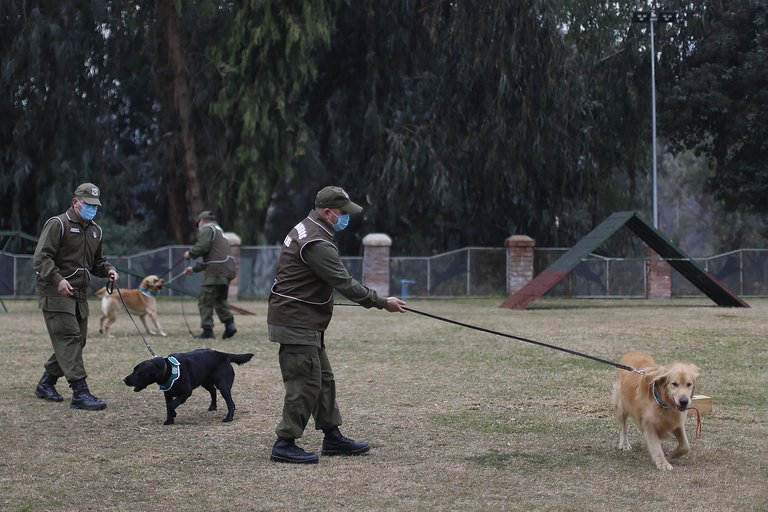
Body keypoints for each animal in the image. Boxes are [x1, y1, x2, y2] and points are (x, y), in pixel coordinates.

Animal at [124, 348, 255, 424]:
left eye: (138, 372)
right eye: (134, 370)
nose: (124, 379)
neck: (168, 369)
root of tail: (223, 354)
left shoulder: (186, 392)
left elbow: (171, 405)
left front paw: (173, 414)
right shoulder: (168, 393)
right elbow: (168, 405)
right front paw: (169, 420)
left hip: (223, 385)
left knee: (230, 403)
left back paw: (229, 418)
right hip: (205, 381)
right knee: (213, 391)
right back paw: (213, 406)